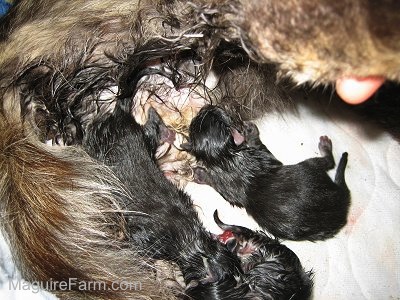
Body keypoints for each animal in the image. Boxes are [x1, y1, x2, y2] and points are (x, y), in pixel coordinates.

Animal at [184, 105, 350, 241]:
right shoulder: (260, 155)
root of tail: (342, 203)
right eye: (215, 116)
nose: (208, 106)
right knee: (328, 162)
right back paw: (325, 146)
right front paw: (250, 131)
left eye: (200, 118)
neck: (225, 157)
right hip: (311, 167)